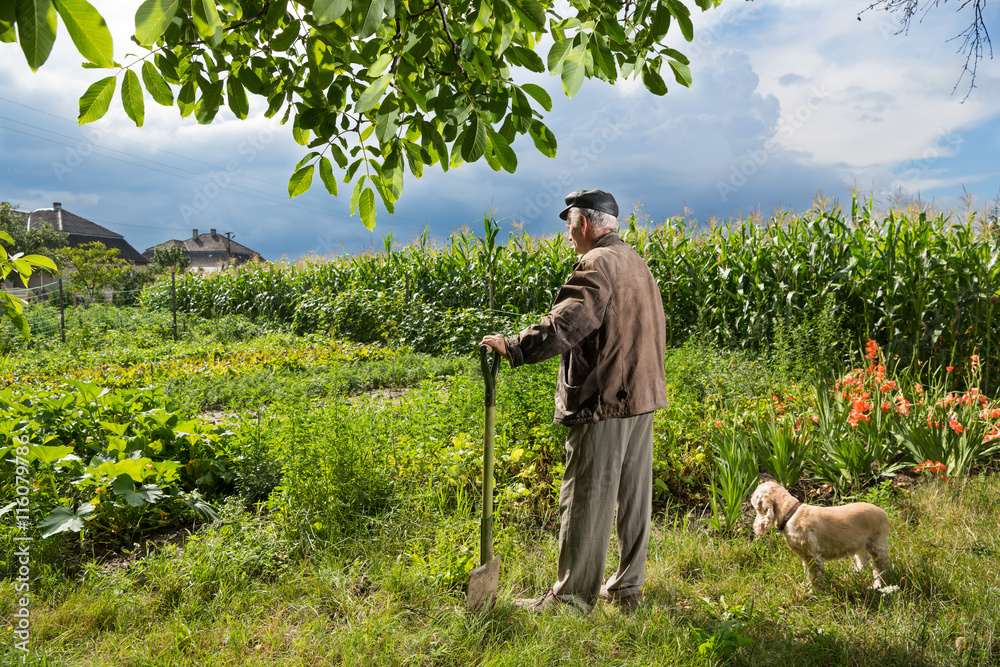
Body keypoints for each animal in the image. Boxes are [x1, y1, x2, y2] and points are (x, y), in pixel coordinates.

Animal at [752, 480, 892, 588]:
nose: (751, 495)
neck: (790, 512)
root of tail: (883, 513)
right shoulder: (805, 557)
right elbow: (808, 574)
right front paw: (806, 586)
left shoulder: (813, 556)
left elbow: (815, 577)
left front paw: (813, 592)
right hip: (860, 543)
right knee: (863, 560)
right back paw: (857, 574)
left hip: (877, 545)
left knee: (881, 567)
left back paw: (878, 584)